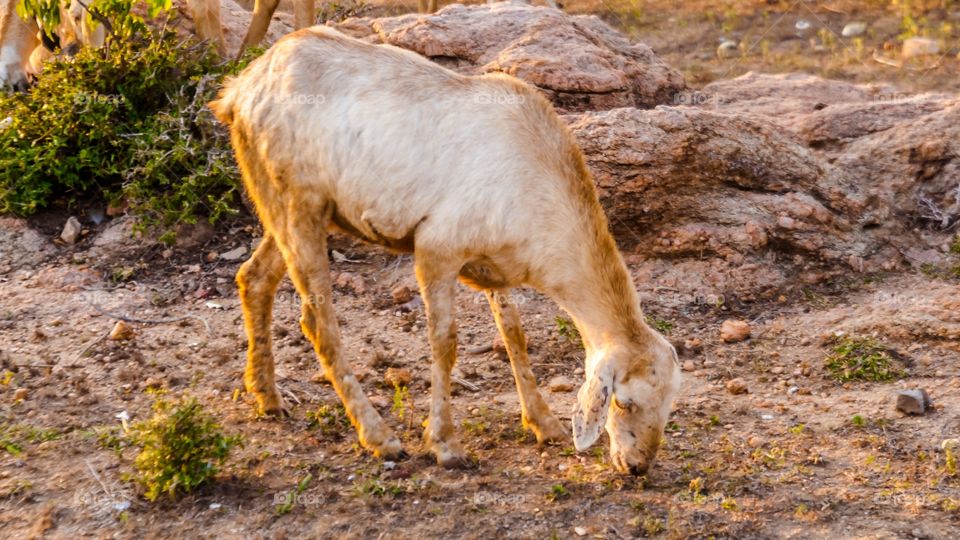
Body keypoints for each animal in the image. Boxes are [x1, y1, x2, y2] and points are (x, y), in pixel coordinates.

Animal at [210, 26, 680, 472]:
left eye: (670, 404)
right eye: (623, 401)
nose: (637, 467)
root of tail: (238, 90)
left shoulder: (495, 264)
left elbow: (514, 334)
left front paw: (545, 425)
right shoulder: (437, 247)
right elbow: (444, 343)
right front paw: (445, 445)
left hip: (290, 204)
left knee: (253, 278)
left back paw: (267, 398)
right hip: (297, 199)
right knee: (317, 321)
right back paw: (379, 437)